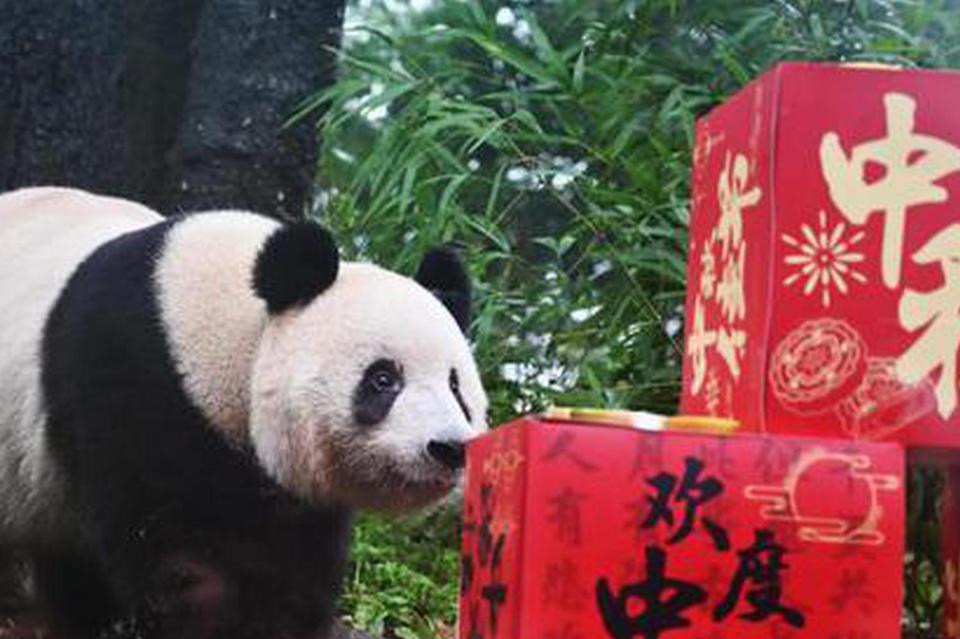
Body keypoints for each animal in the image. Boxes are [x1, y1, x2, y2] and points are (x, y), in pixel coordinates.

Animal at [0, 188, 484, 636]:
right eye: (383, 379)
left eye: (455, 385)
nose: (447, 448)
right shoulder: (129, 380)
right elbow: (175, 554)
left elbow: (296, 565)